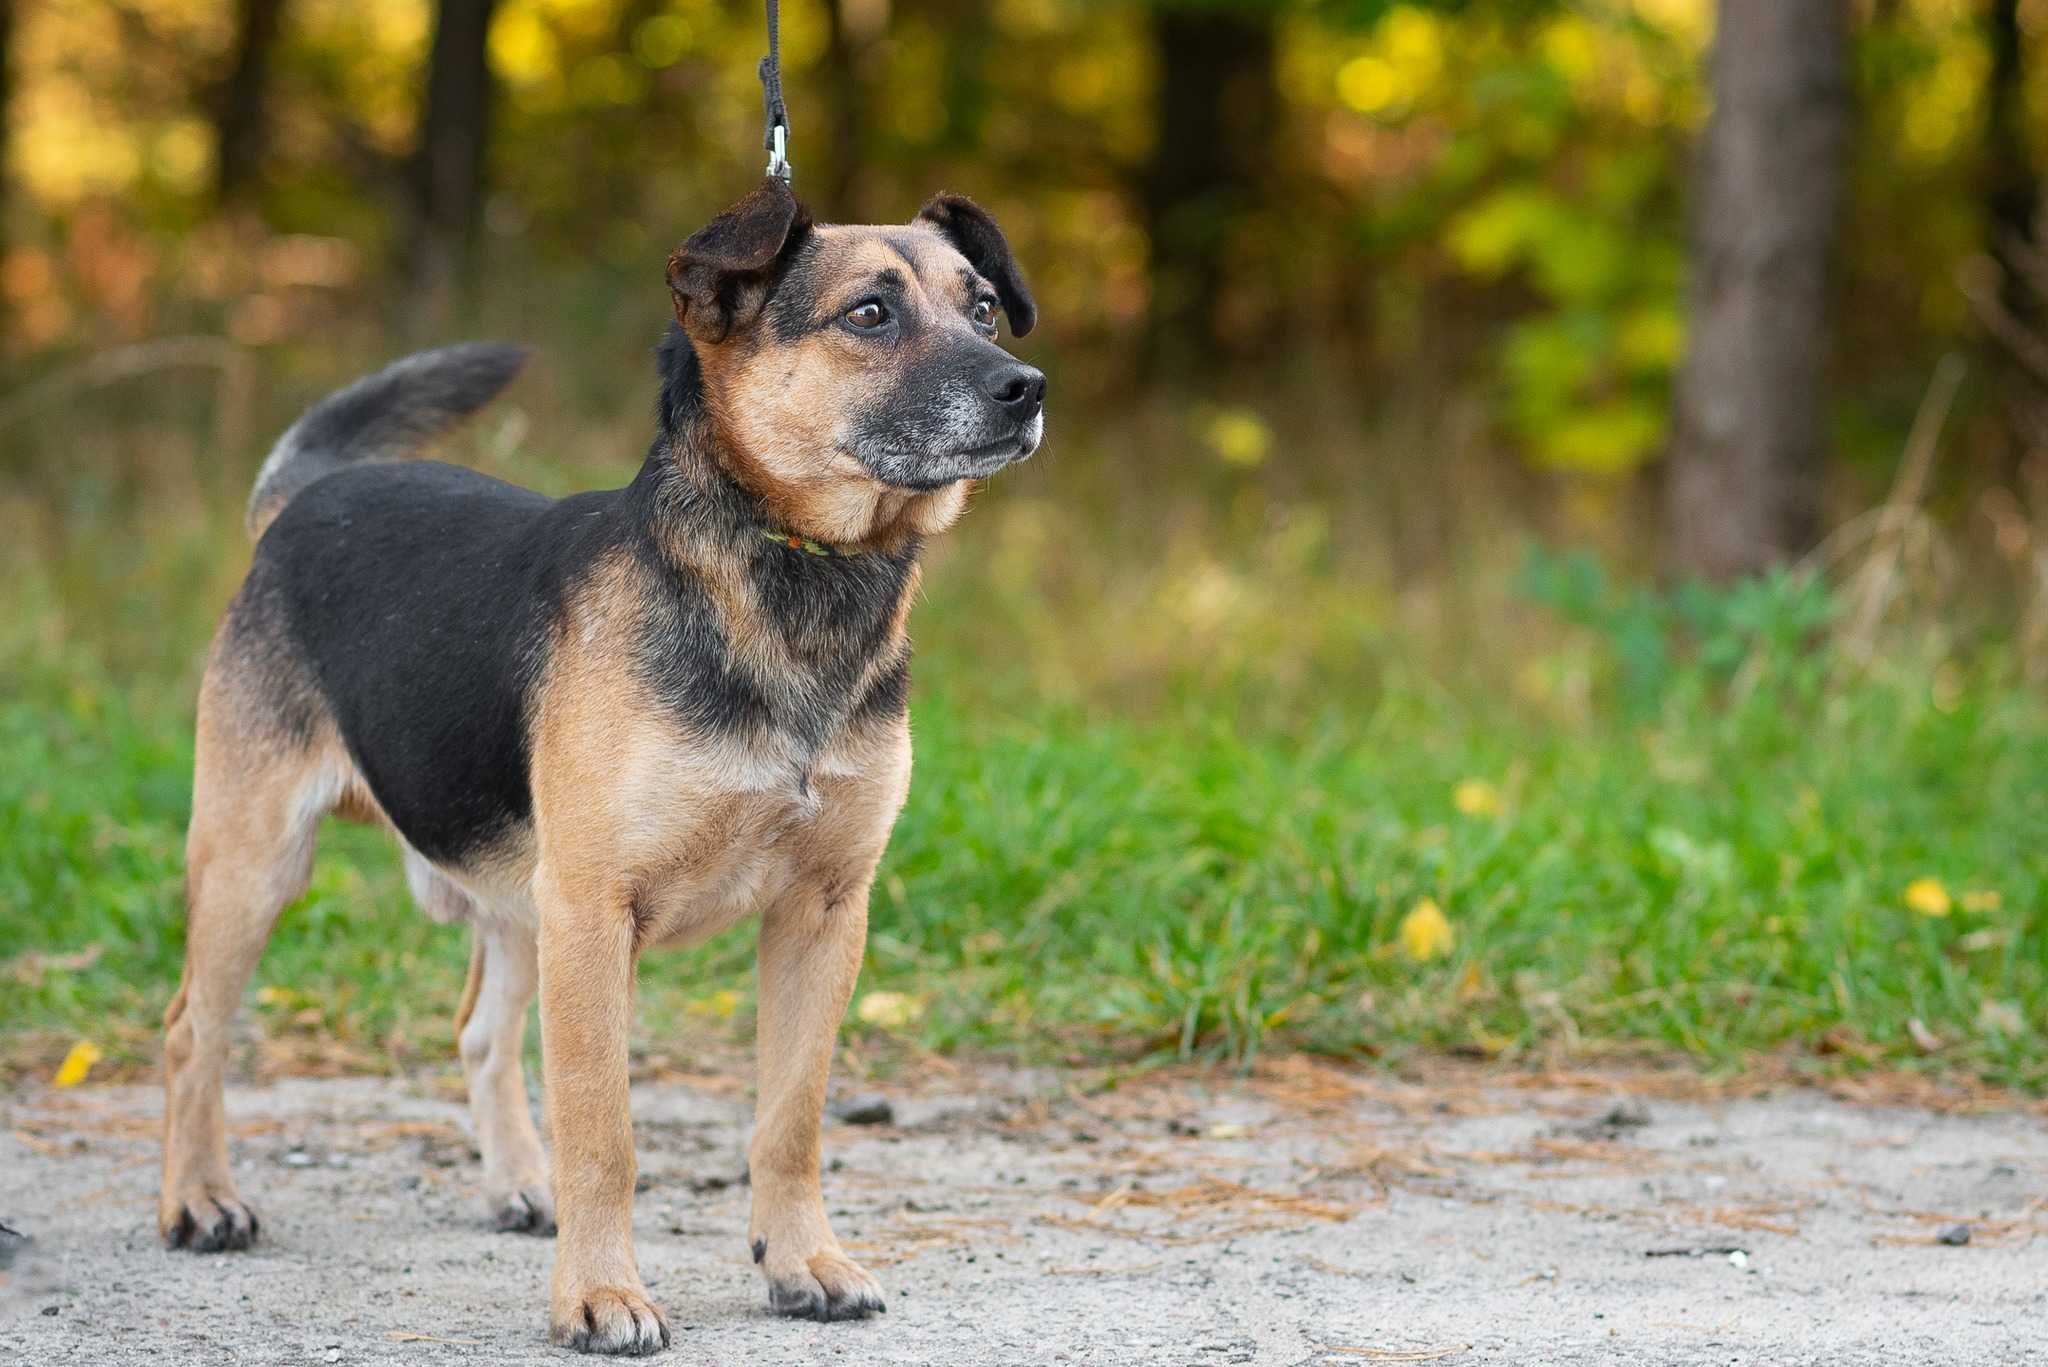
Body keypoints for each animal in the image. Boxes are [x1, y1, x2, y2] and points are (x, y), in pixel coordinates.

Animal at [153, 176, 1040, 1352]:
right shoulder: (593, 910)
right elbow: (604, 1131)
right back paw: (199, 1199)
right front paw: (601, 1293)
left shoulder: (821, 912)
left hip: (514, 895)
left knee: (481, 1033)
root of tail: (300, 505)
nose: (1026, 388)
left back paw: (516, 1183)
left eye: (983, 307)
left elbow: (789, 1118)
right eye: (869, 314)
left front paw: (801, 1260)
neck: (784, 575)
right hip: (258, 864)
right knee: (192, 1031)